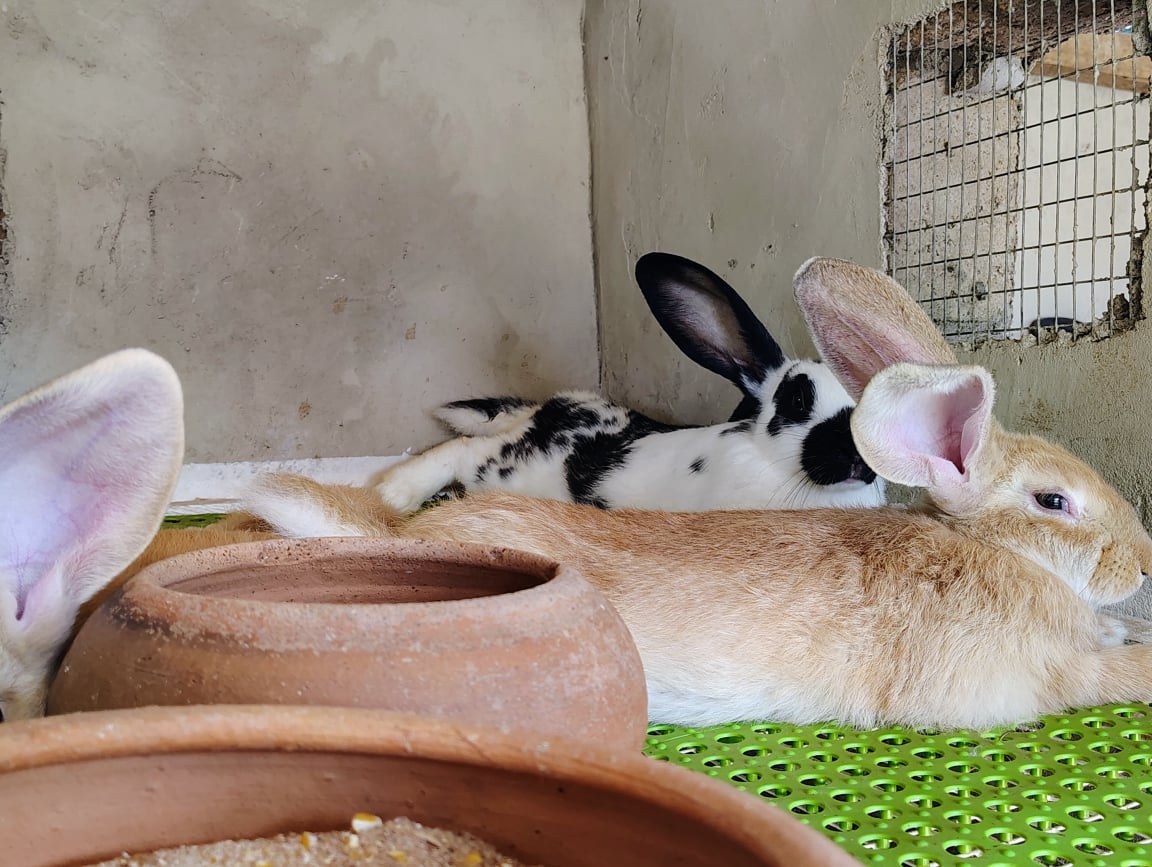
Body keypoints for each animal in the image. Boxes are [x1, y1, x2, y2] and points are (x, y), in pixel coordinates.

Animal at [372, 252, 885, 514]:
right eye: (798, 398)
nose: (858, 454)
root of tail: (551, 407)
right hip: (509, 468)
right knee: (463, 451)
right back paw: (393, 495)